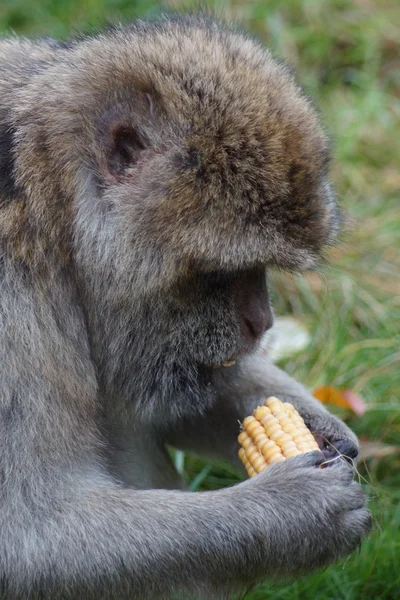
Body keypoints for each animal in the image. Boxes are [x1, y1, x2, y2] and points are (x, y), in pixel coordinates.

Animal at [0, 14, 372, 600]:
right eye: (223, 272)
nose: (262, 322)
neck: (45, 210)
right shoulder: (10, 316)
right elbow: (30, 538)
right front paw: (296, 513)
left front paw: (319, 424)